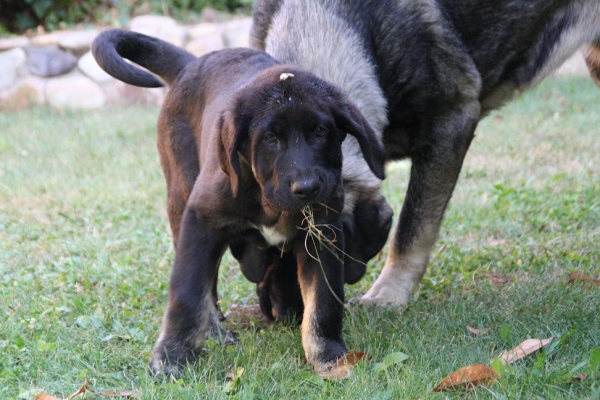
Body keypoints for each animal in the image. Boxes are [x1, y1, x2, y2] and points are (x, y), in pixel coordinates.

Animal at [92, 29, 386, 376]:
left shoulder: (322, 234)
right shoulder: (201, 220)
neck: (269, 202)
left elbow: (323, 301)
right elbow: (188, 291)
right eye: (270, 139)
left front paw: (329, 356)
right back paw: (213, 332)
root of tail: (191, 62)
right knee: (206, 284)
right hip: (181, 198)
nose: (308, 188)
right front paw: (171, 357)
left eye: (320, 131)